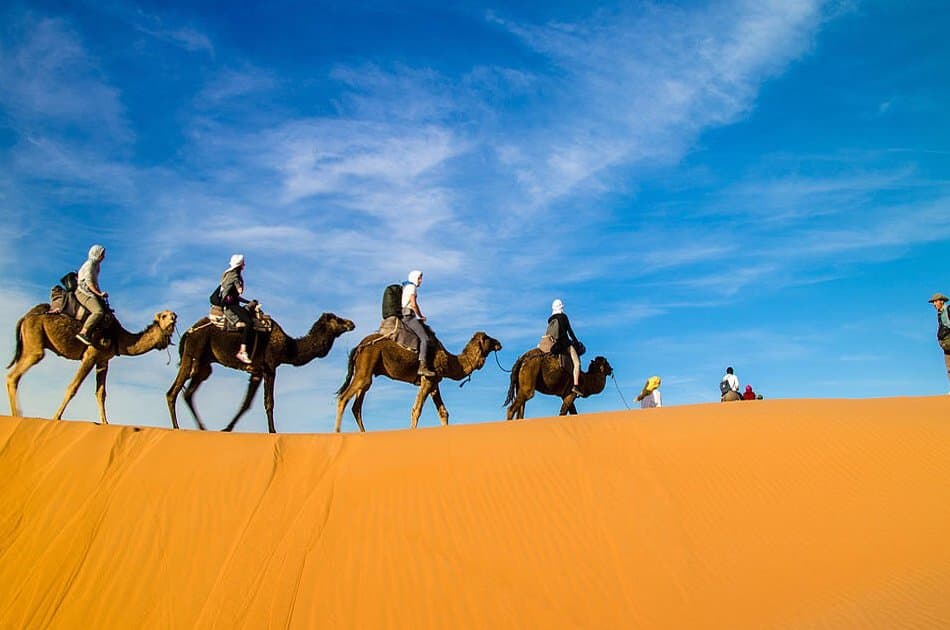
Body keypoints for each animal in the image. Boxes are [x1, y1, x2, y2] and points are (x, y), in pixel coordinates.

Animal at [6, 304, 178, 424]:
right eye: (164, 315)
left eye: (174, 314)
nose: (174, 318)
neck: (120, 338)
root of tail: (24, 318)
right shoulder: (90, 355)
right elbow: (73, 387)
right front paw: (55, 417)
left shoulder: (103, 360)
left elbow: (101, 393)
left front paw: (105, 422)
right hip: (34, 341)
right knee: (14, 375)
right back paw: (16, 416)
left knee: (13, 376)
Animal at [167, 312, 355, 433]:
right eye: (338, 319)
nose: (351, 323)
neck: (289, 347)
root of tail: (188, 332)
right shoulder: (270, 367)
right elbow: (269, 402)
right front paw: (273, 431)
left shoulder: (256, 372)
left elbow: (246, 404)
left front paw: (227, 428)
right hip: (193, 352)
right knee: (172, 392)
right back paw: (176, 427)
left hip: (204, 366)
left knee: (188, 393)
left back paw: (202, 428)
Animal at [335, 330, 502, 432]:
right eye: (487, 338)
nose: (499, 343)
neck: (450, 361)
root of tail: (359, 346)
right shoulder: (427, 379)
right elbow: (416, 410)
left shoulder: (435, 383)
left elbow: (443, 413)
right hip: (366, 368)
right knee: (343, 398)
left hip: (366, 372)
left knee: (356, 407)